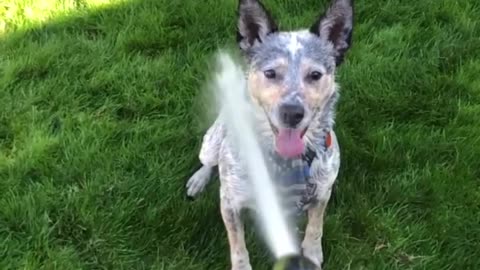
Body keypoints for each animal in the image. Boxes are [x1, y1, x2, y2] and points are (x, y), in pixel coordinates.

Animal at [186, 0, 354, 268]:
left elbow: (315, 226)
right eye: (270, 73)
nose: (292, 112)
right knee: (209, 161)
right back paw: (198, 179)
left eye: (315, 75)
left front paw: (312, 253)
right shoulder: (230, 202)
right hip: (211, 142)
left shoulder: (321, 193)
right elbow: (237, 244)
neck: (287, 162)